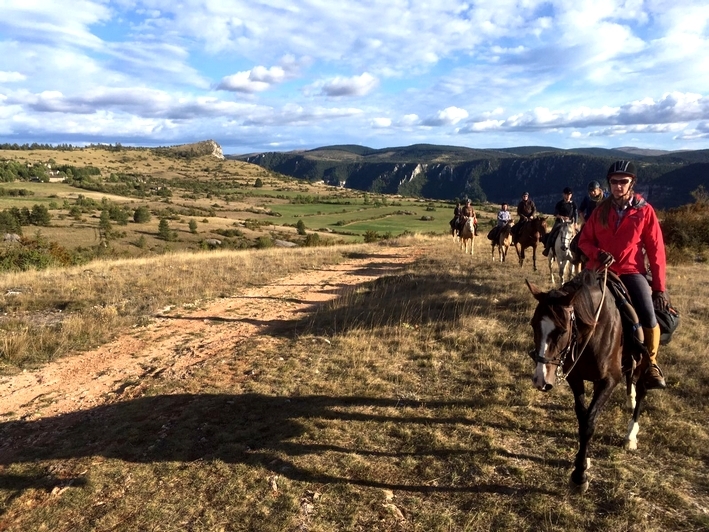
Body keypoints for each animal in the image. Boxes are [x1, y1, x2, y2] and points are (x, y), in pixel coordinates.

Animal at [524, 272, 648, 492]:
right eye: (533, 325)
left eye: (562, 331)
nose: (540, 380)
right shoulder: (575, 377)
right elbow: (583, 417)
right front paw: (582, 461)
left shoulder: (609, 380)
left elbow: (589, 422)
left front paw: (579, 475)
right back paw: (630, 399)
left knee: (641, 389)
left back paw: (631, 434)